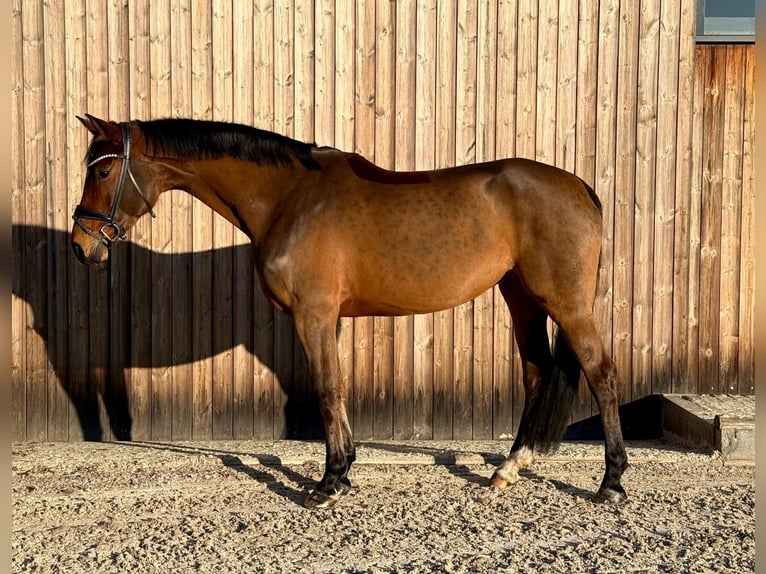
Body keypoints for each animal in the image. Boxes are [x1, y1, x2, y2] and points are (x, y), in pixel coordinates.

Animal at [71, 114, 628, 509]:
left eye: (103, 169)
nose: (81, 245)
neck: (288, 198)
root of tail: (580, 187)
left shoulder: (312, 314)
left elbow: (325, 390)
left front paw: (328, 482)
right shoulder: (328, 318)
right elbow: (337, 388)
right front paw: (344, 472)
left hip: (566, 304)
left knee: (601, 373)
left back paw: (611, 482)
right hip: (522, 298)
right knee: (536, 373)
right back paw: (509, 469)